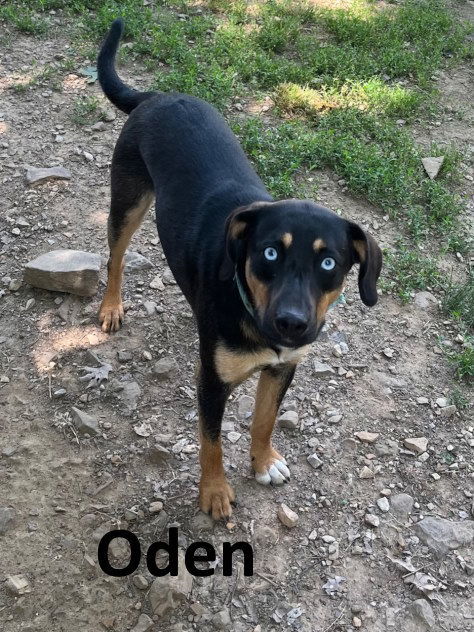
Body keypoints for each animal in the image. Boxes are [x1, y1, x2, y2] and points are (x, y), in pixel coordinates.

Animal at [98, 19, 384, 520]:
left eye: (329, 262)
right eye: (269, 254)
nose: (292, 323)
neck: (252, 311)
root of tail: (158, 95)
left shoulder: (283, 368)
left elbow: (265, 419)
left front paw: (263, 461)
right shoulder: (212, 382)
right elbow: (210, 442)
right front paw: (214, 492)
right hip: (127, 200)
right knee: (115, 257)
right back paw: (111, 306)